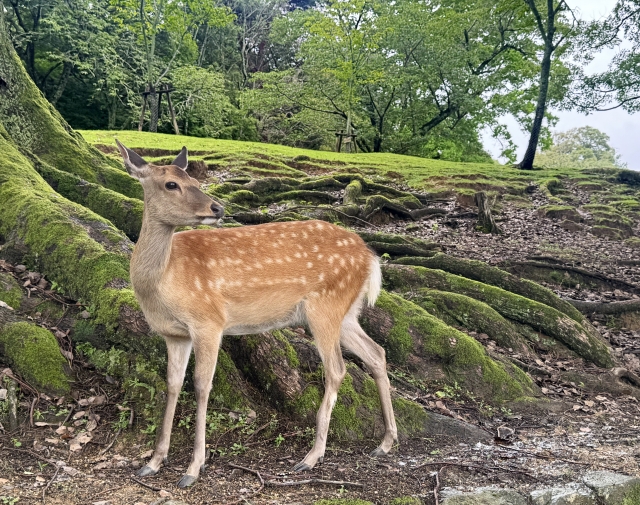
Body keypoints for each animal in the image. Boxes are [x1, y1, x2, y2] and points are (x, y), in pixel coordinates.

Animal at [115, 141, 396, 484]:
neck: (164, 281)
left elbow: (202, 385)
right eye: (171, 184)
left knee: (338, 369)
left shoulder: (209, 320)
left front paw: (194, 468)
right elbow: (172, 385)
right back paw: (385, 442)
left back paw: (312, 457)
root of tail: (370, 257)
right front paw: (154, 461)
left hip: (325, 305)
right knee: (376, 353)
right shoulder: (174, 334)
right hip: (346, 312)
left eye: (195, 180)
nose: (217, 208)